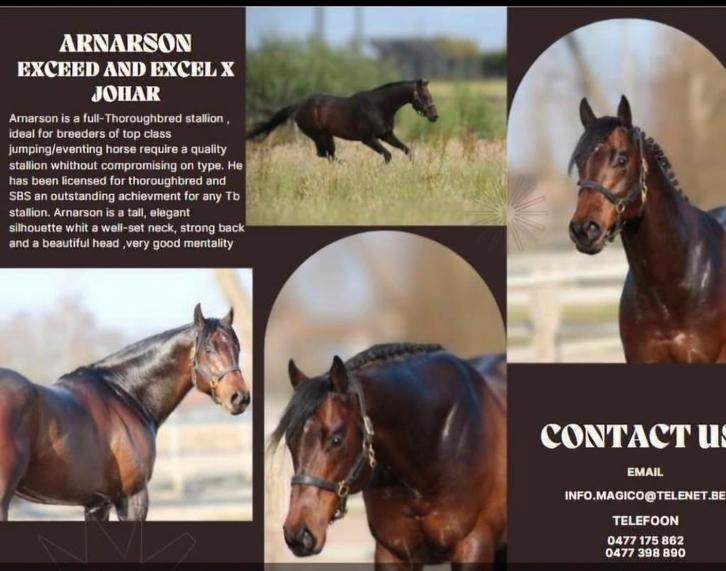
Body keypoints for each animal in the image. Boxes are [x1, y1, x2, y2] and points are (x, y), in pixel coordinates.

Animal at [0, 304, 250, 521]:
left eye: (237, 348)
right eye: (209, 349)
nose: (240, 397)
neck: (124, 392)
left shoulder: (96, 505)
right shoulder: (132, 497)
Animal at [246, 80, 438, 163]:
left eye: (430, 95)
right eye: (424, 96)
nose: (435, 116)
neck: (379, 107)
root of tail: (298, 106)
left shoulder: (386, 135)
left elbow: (407, 150)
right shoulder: (368, 139)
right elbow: (387, 155)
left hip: (327, 135)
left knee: (327, 154)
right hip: (317, 134)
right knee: (324, 154)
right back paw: (345, 165)